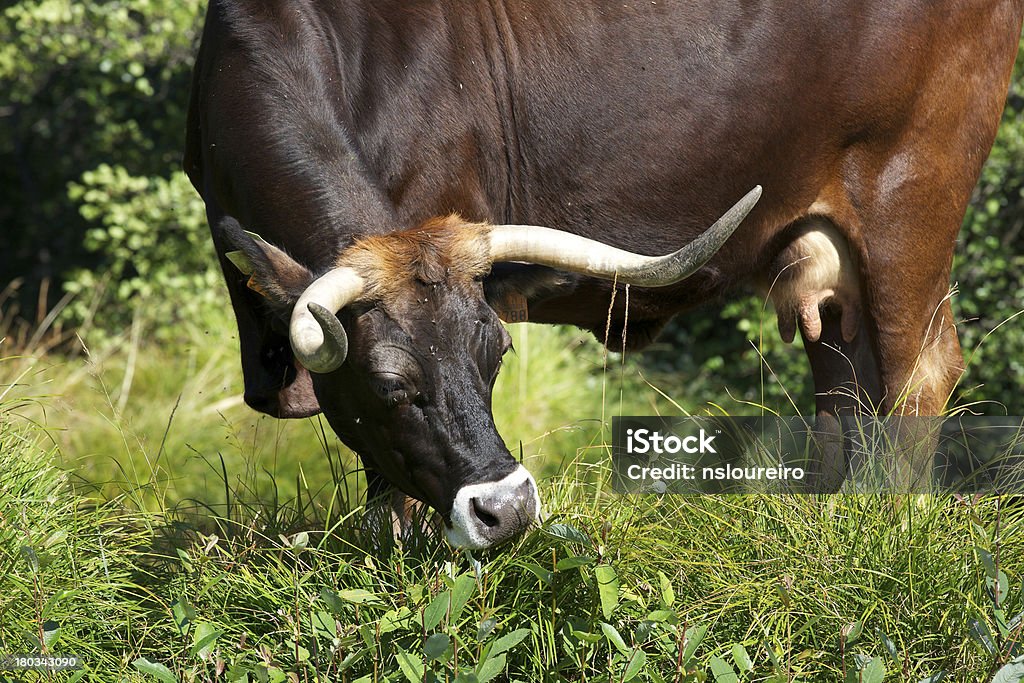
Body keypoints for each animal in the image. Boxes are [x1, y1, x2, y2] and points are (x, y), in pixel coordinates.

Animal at [184, 0, 1024, 548]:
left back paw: (889, 527)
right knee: (846, 385)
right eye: (391, 381)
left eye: (496, 354)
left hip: (909, 200)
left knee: (917, 374)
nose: (509, 507)